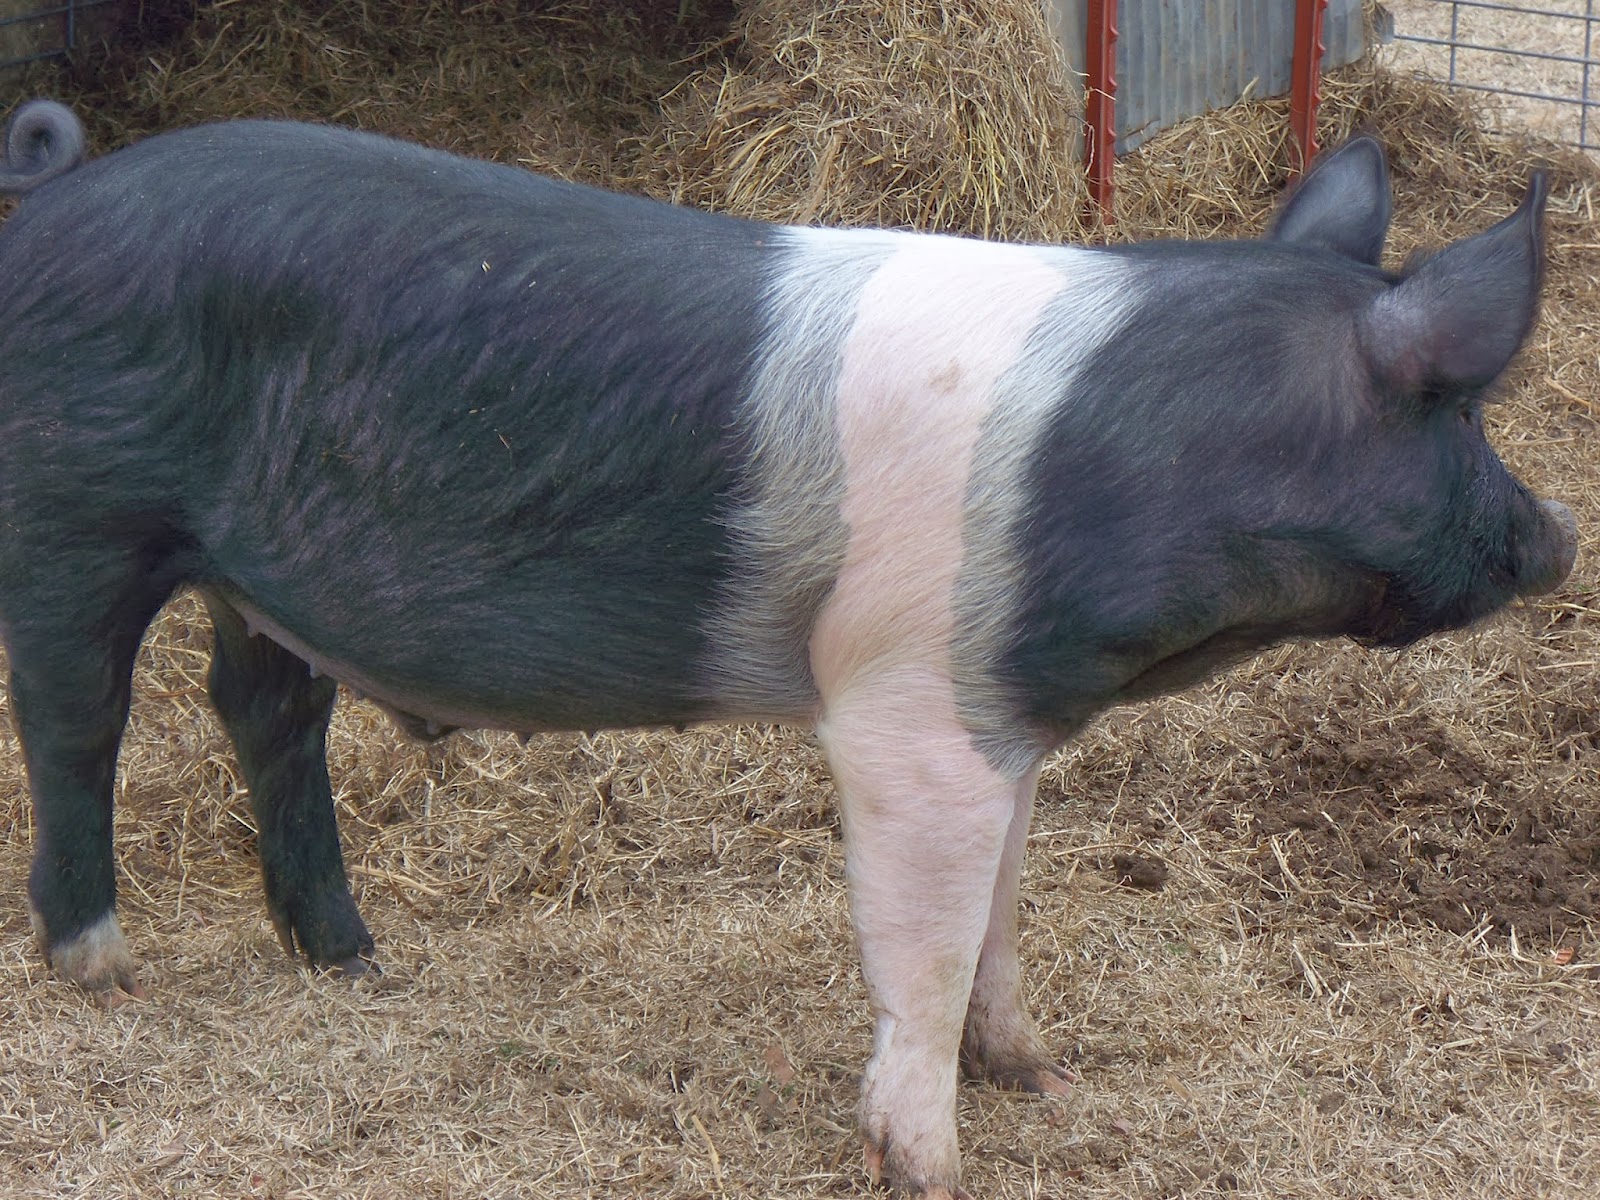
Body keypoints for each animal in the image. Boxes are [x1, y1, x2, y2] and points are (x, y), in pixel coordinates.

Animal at [0, 97, 1576, 1198]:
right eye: (1460, 410)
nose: (1560, 536)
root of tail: (56, 196)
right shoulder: (906, 714)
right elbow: (924, 949)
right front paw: (932, 1168)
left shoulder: (1003, 713)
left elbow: (1001, 916)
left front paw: (1040, 1076)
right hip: (76, 511)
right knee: (74, 721)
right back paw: (103, 971)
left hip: (256, 576)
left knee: (264, 711)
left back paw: (357, 965)